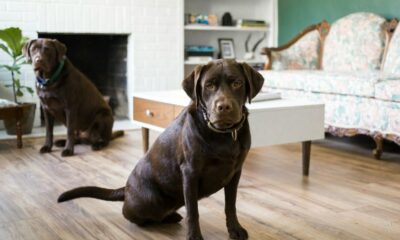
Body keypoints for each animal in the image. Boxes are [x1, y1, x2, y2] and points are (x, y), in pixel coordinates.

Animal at [56, 58, 262, 240]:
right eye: (209, 85)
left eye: (237, 83)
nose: (224, 107)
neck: (224, 135)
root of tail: (126, 189)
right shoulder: (190, 173)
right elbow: (193, 211)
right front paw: (194, 236)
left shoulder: (235, 173)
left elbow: (230, 205)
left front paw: (235, 229)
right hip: (149, 201)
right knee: (134, 215)